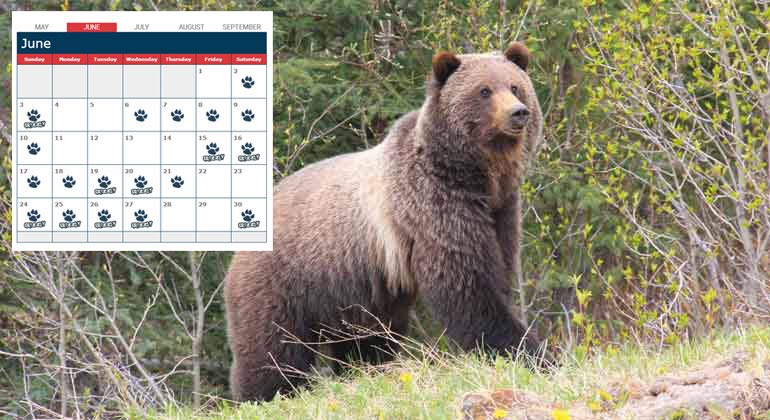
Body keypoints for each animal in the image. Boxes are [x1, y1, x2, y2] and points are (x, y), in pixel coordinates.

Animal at [225, 41, 544, 402]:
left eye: (515, 86)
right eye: (484, 90)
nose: (518, 113)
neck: (478, 176)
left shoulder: (499, 210)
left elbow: (497, 271)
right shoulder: (434, 206)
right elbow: (468, 286)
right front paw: (530, 352)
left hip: (354, 293)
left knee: (366, 341)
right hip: (285, 278)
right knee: (272, 348)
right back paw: (261, 393)